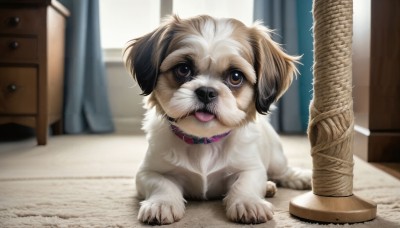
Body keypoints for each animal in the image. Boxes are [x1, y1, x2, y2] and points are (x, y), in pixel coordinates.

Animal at [123, 15, 310, 225]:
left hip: (276, 156)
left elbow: (245, 183)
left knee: (282, 171)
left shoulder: (251, 167)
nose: (206, 91)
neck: (203, 142)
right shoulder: (148, 171)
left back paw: (299, 178)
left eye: (235, 76)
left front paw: (248, 202)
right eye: (183, 69)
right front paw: (162, 203)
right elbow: (162, 183)